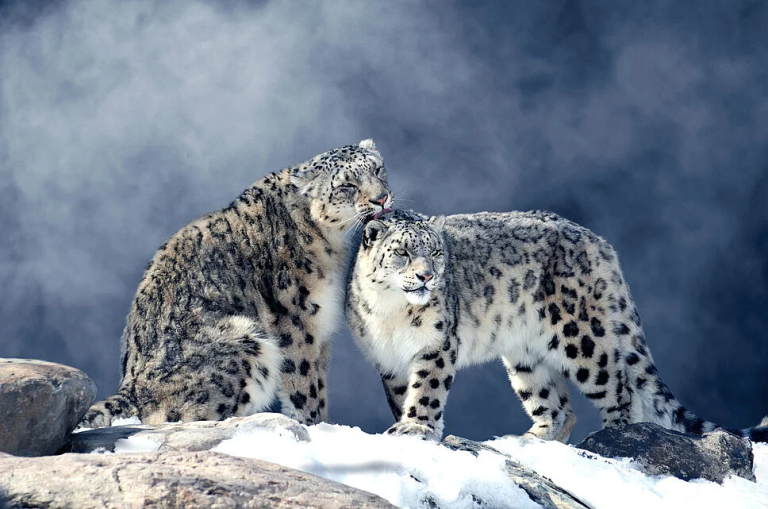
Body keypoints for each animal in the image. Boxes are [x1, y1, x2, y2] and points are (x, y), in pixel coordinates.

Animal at [81, 139, 393, 428]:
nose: (381, 198)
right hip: (244, 341)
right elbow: (305, 385)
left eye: (378, 169)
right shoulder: (298, 322)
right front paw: (315, 425)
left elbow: (320, 382)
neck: (332, 241)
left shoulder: (321, 330)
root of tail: (130, 387)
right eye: (347, 185)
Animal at [346, 209, 768, 443]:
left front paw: (416, 428)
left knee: (618, 385)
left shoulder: (436, 345)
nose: (427, 276)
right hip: (524, 356)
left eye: (436, 252)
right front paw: (407, 424)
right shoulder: (388, 362)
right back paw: (529, 440)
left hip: (582, 336)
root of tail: (596, 241)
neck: (392, 314)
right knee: (556, 403)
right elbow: (403, 395)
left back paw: (612, 435)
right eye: (402, 252)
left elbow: (427, 390)